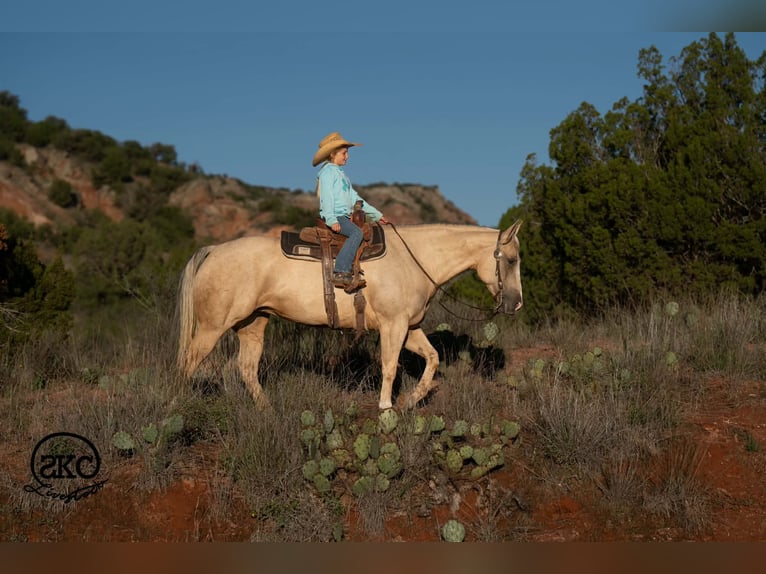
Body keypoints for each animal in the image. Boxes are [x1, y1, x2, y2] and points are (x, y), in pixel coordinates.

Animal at [176, 221, 523, 410]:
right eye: (511, 259)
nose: (516, 304)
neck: (413, 259)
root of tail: (214, 249)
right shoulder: (393, 325)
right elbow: (389, 367)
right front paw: (386, 408)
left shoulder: (409, 327)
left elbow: (433, 358)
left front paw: (412, 401)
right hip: (212, 327)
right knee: (188, 363)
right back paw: (178, 407)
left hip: (252, 326)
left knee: (247, 369)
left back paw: (268, 412)